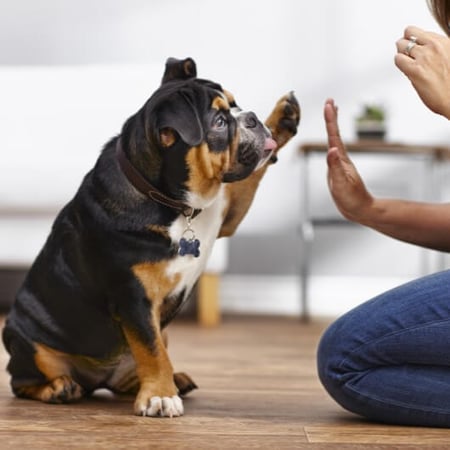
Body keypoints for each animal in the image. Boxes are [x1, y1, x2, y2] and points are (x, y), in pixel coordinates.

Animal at [3, 57, 300, 418]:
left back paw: (173, 379)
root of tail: (96, 380)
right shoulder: (134, 298)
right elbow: (151, 349)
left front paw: (284, 116)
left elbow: (249, 179)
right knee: (22, 381)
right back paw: (59, 388)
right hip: (25, 341)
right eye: (218, 122)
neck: (173, 201)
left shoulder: (226, 213)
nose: (252, 118)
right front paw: (159, 396)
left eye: (235, 104)